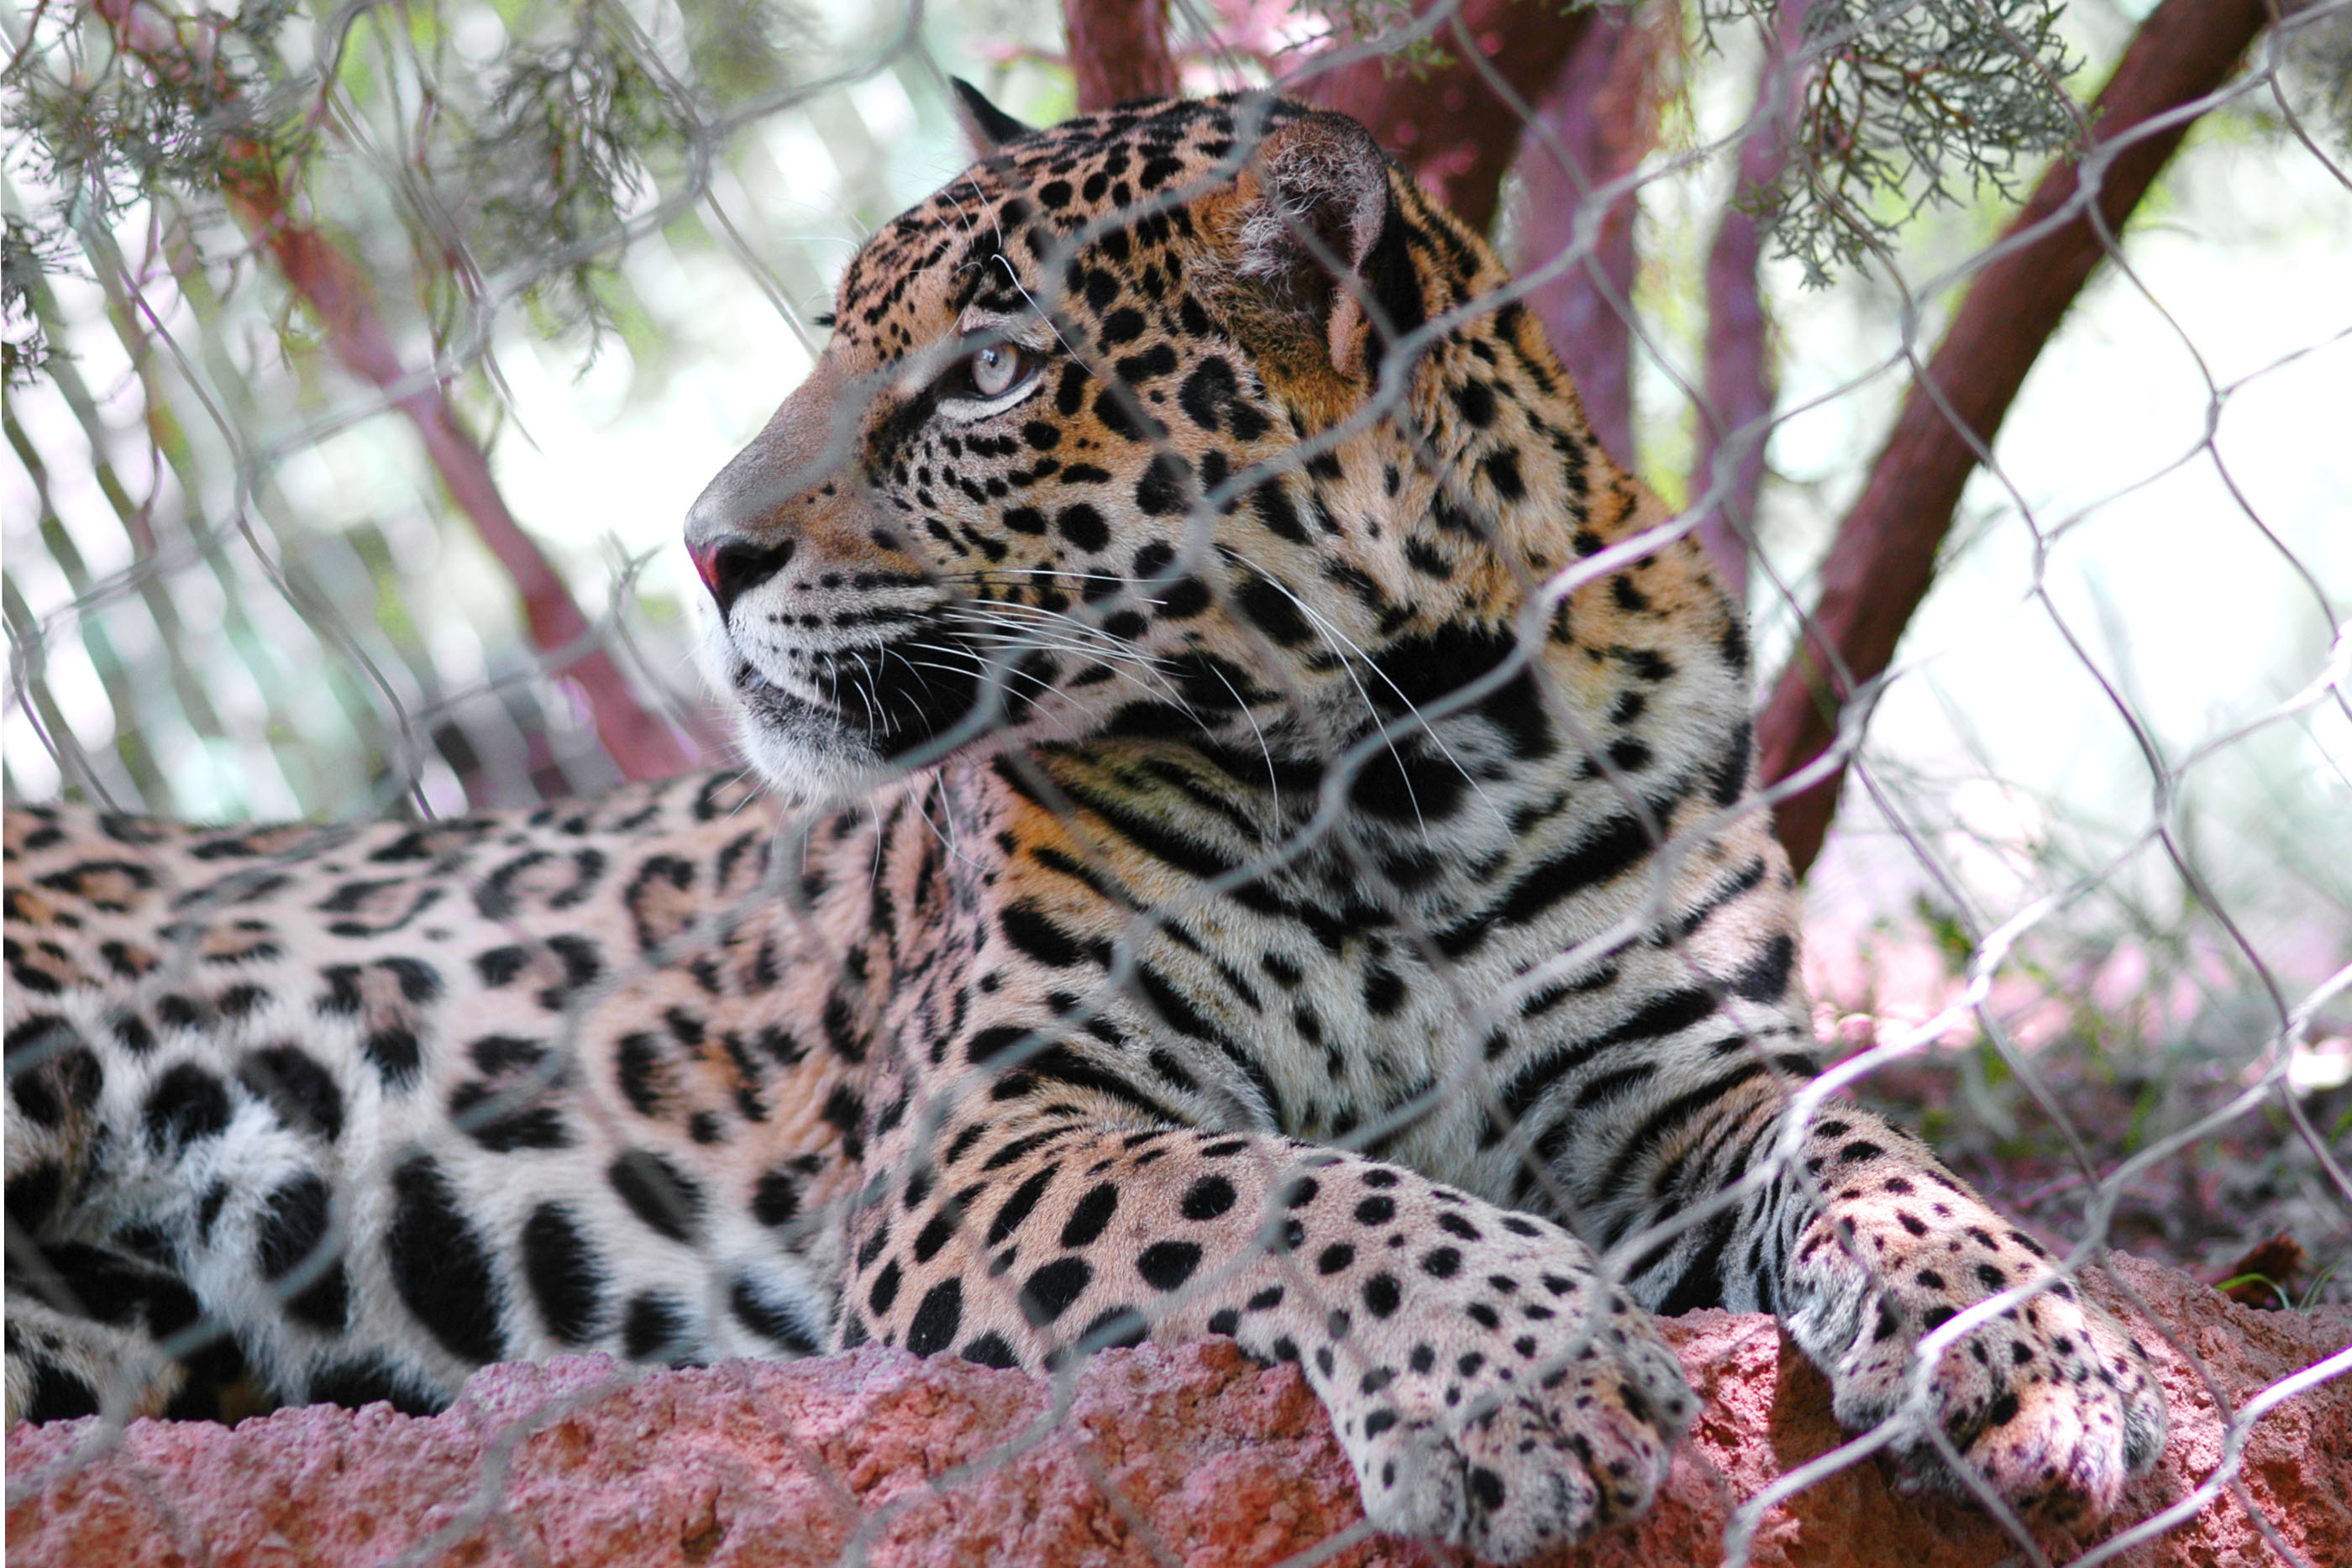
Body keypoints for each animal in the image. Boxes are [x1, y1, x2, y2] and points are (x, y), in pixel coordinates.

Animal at [3, 85, 2166, 1560]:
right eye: (838, 334)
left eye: (991, 372)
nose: (702, 549)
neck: (1419, 759)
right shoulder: (988, 1127)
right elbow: (1291, 1184)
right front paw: (1522, 1375)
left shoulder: (1671, 1072)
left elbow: (1874, 1144)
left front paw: (2039, 1350)